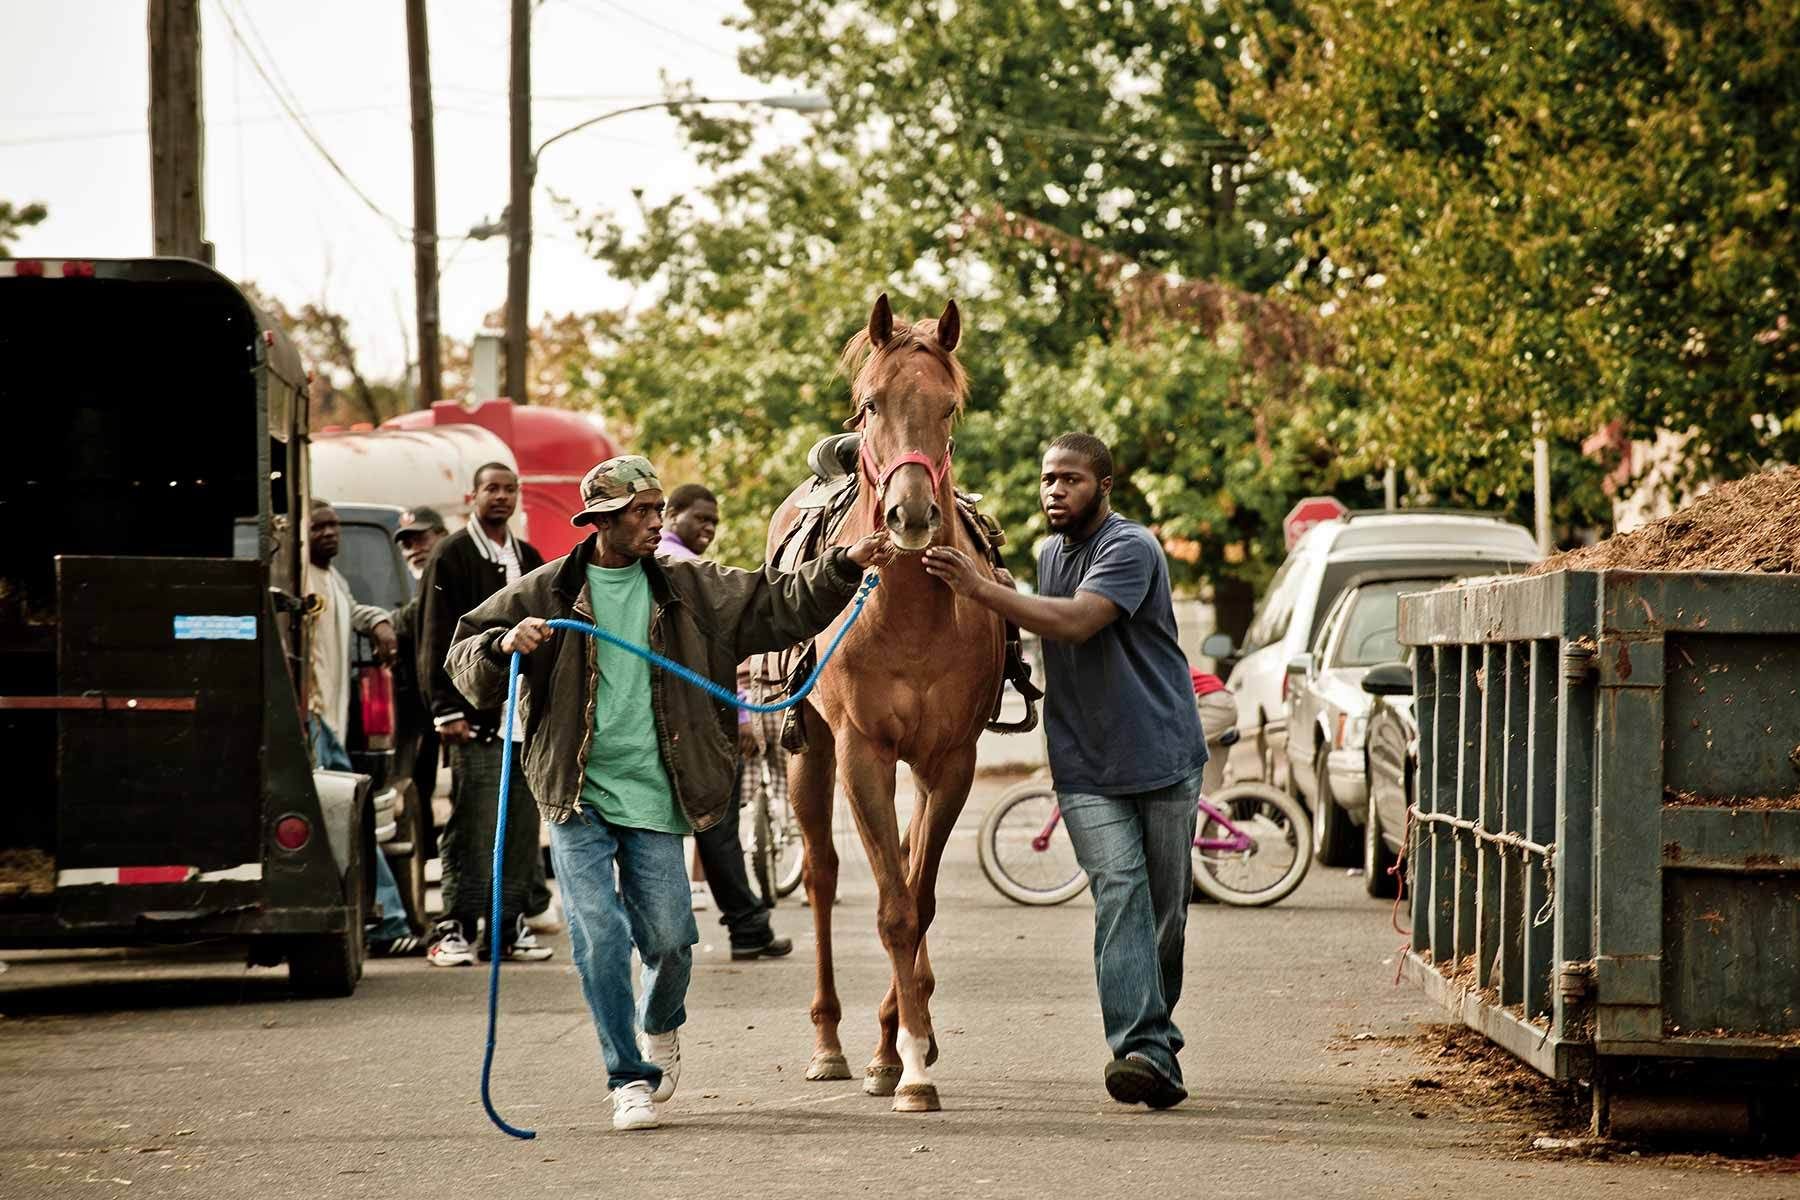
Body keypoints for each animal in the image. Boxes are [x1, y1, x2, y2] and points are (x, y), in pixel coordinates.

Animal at [765, 293, 1007, 1113]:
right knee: (823, 874)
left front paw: (907, 1048)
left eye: (949, 406)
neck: (905, 610)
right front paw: (906, 1069)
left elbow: (918, 897)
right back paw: (831, 1043)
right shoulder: (861, 753)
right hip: (809, 757)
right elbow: (894, 908)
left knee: (899, 862)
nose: (910, 515)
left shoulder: (951, 761)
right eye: (871, 403)